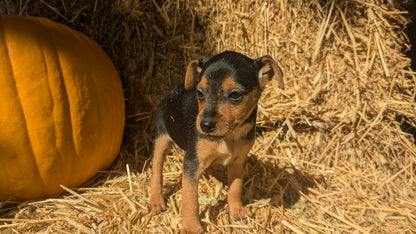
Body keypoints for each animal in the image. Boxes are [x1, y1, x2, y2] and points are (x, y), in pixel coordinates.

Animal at [149, 50, 282, 232]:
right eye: (199, 93)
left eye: (235, 94)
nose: (205, 125)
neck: (229, 136)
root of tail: (171, 92)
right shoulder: (191, 163)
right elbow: (190, 199)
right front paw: (191, 227)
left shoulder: (239, 161)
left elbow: (235, 188)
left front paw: (237, 210)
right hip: (161, 139)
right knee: (157, 170)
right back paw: (156, 201)